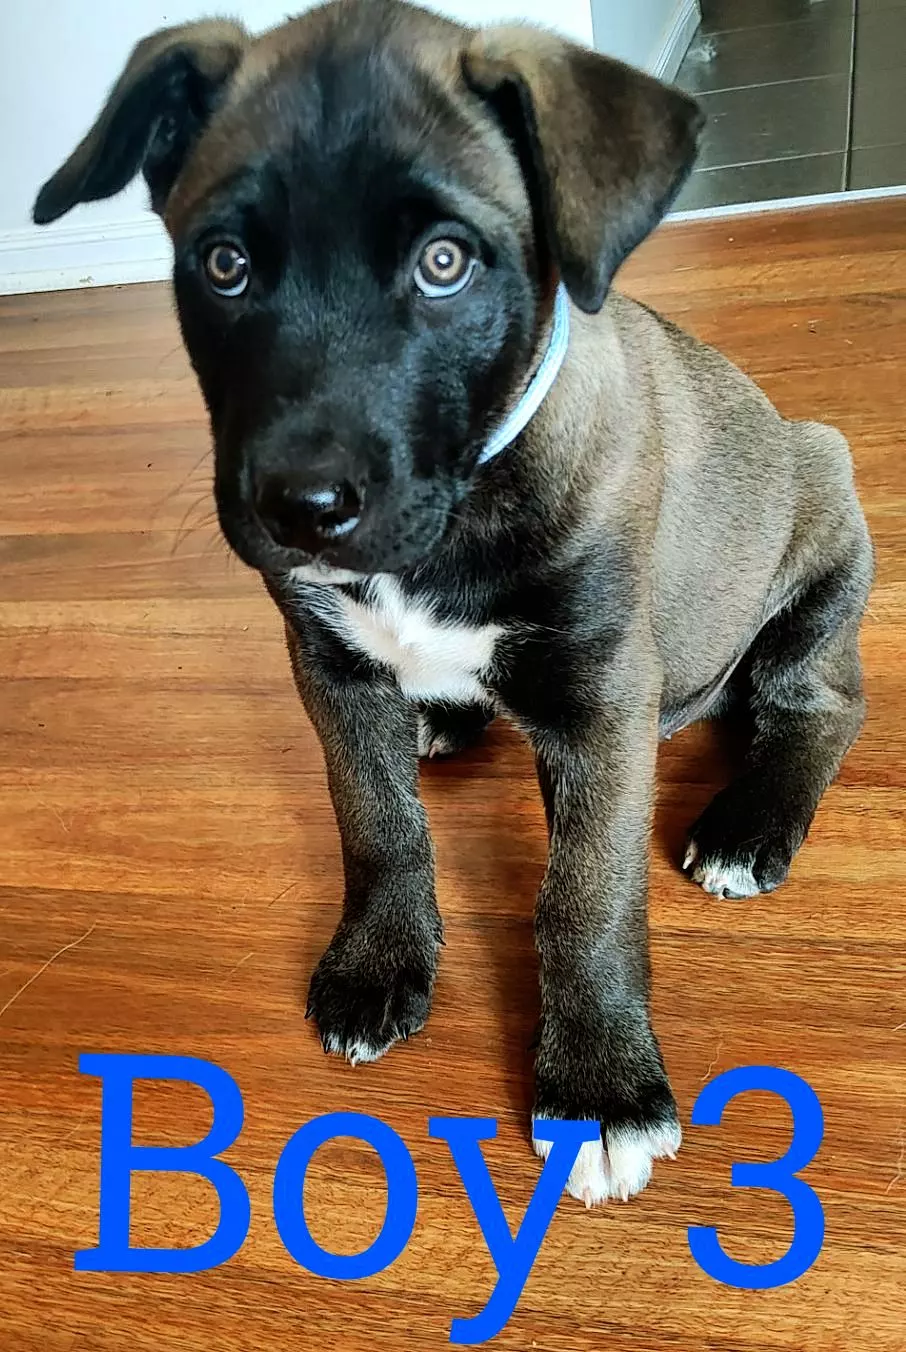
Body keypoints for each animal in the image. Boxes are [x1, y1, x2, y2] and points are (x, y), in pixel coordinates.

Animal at [34, 0, 873, 1207]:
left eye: (444, 264)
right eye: (224, 264)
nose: (302, 506)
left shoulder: (603, 699)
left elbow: (585, 897)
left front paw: (601, 1086)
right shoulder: (329, 664)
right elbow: (374, 819)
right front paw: (382, 958)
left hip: (823, 518)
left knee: (818, 704)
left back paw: (748, 824)